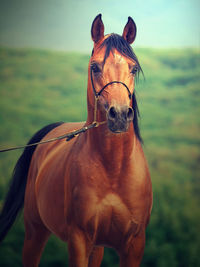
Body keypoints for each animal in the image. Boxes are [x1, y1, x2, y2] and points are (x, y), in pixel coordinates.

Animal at [0, 14, 152, 267]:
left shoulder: (134, 244)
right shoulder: (79, 240)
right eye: (95, 67)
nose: (120, 115)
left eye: (133, 68)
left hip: (97, 247)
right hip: (35, 232)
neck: (114, 169)